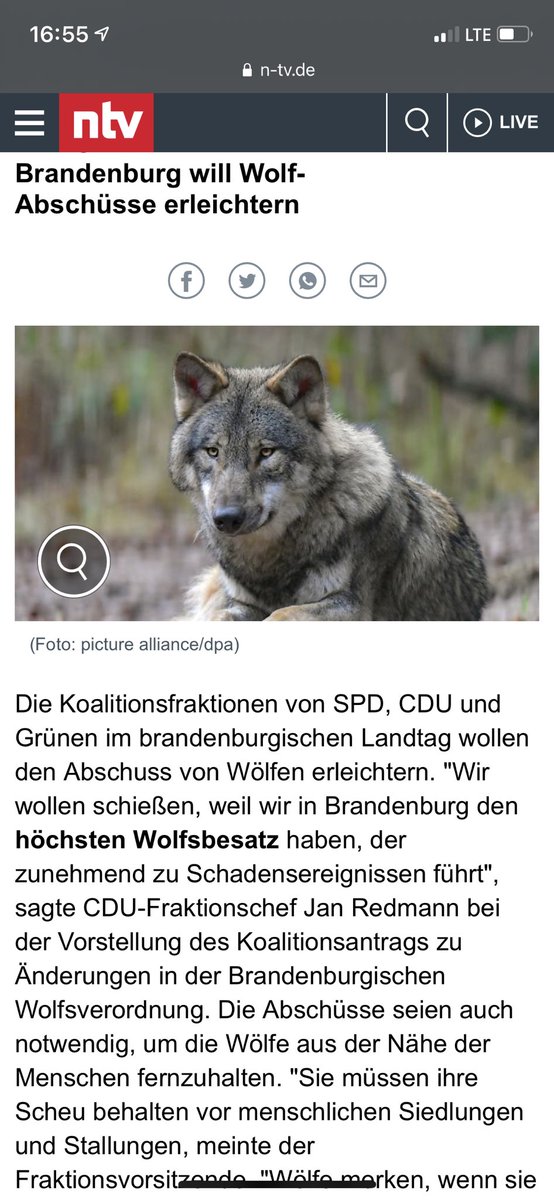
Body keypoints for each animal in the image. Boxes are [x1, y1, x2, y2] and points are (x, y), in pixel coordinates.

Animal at [169, 352, 488, 621]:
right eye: (213, 452)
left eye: (266, 452)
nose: (226, 518)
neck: (269, 560)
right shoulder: (238, 604)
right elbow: (218, 618)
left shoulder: (351, 606)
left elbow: (280, 615)